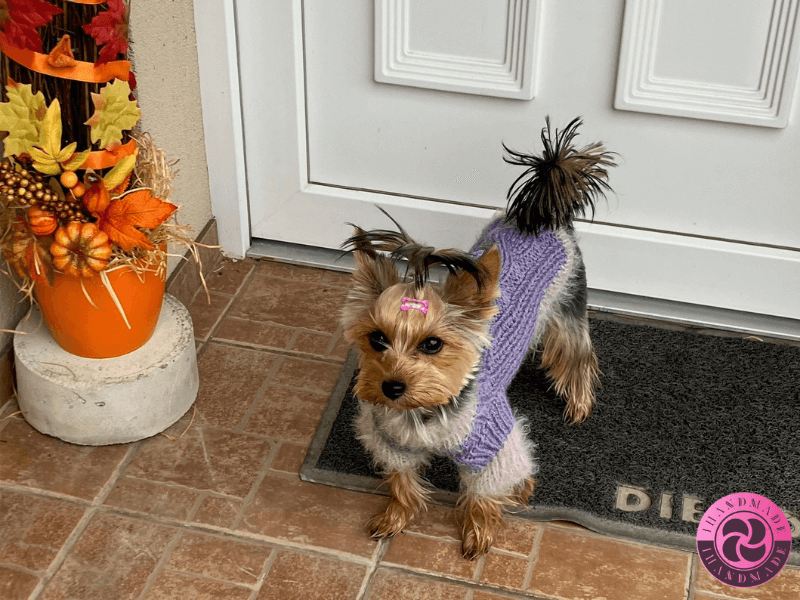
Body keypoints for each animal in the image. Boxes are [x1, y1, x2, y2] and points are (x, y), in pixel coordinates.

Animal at [340, 117, 616, 559]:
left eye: (433, 344)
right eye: (377, 339)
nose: (391, 387)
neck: (425, 412)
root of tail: (538, 215)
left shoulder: (493, 443)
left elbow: (486, 491)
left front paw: (480, 529)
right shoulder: (392, 442)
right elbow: (402, 480)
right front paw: (396, 516)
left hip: (569, 307)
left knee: (577, 356)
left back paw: (579, 402)